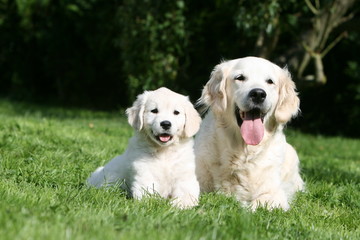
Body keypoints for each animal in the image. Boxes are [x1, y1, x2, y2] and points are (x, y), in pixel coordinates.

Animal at [195, 56, 306, 210]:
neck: (242, 152)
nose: (258, 94)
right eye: (240, 78)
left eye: (270, 81)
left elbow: (257, 205)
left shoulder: (275, 194)